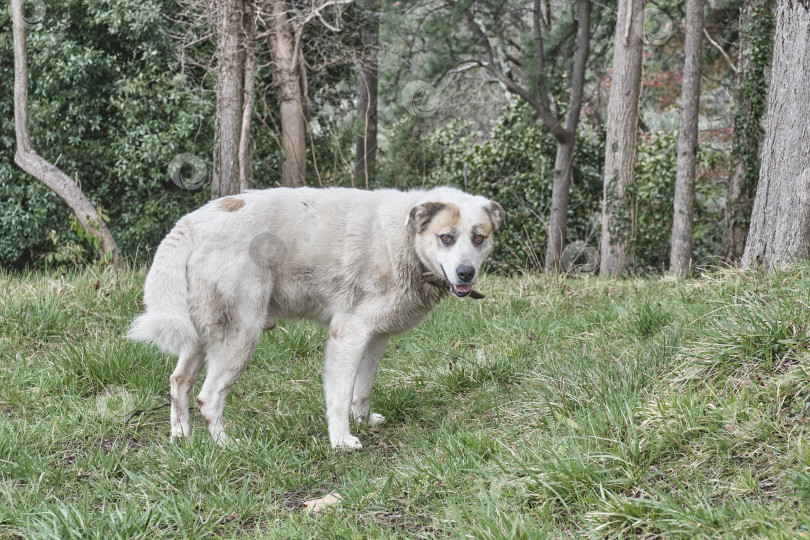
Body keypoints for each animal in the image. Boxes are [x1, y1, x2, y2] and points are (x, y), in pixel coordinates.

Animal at [129, 188, 502, 450]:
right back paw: (227, 445)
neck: (403, 240)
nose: (465, 273)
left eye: (478, 238)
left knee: (179, 382)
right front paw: (342, 441)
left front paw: (363, 421)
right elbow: (339, 396)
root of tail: (192, 222)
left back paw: (182, 437)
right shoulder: (347, 334)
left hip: (200, 335)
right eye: (446, 238)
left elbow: (362, 390)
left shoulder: (375, 339)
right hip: (239, 338)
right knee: (208, 397)